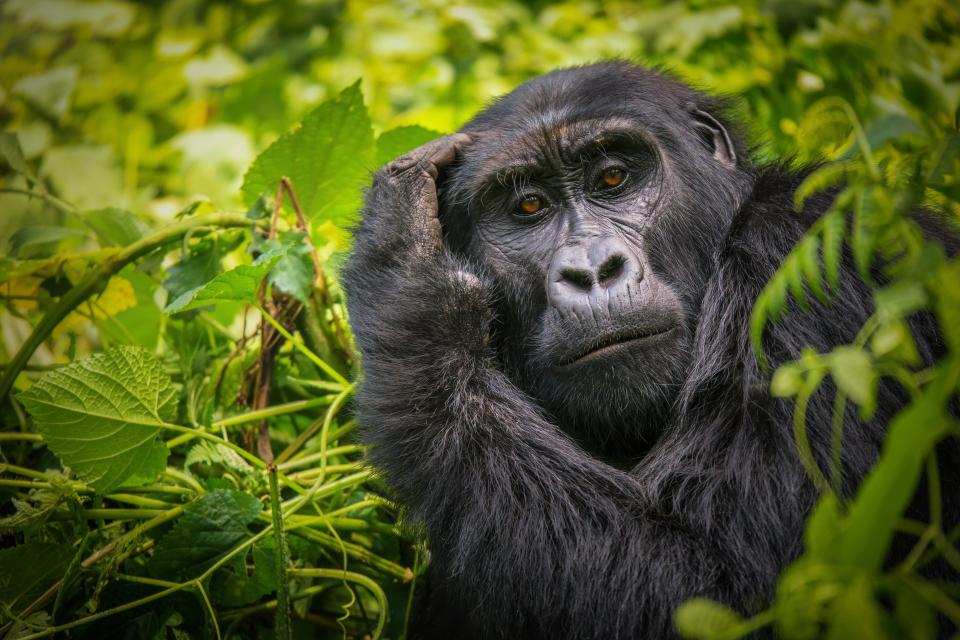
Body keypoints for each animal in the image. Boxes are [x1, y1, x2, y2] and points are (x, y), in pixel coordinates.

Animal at [342, 61, 956, 640]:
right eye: (529, 207)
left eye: (613, 177)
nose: (591, 270)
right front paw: (406, 248)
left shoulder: (817, 254)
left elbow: (726, 588)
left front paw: (409, 281)